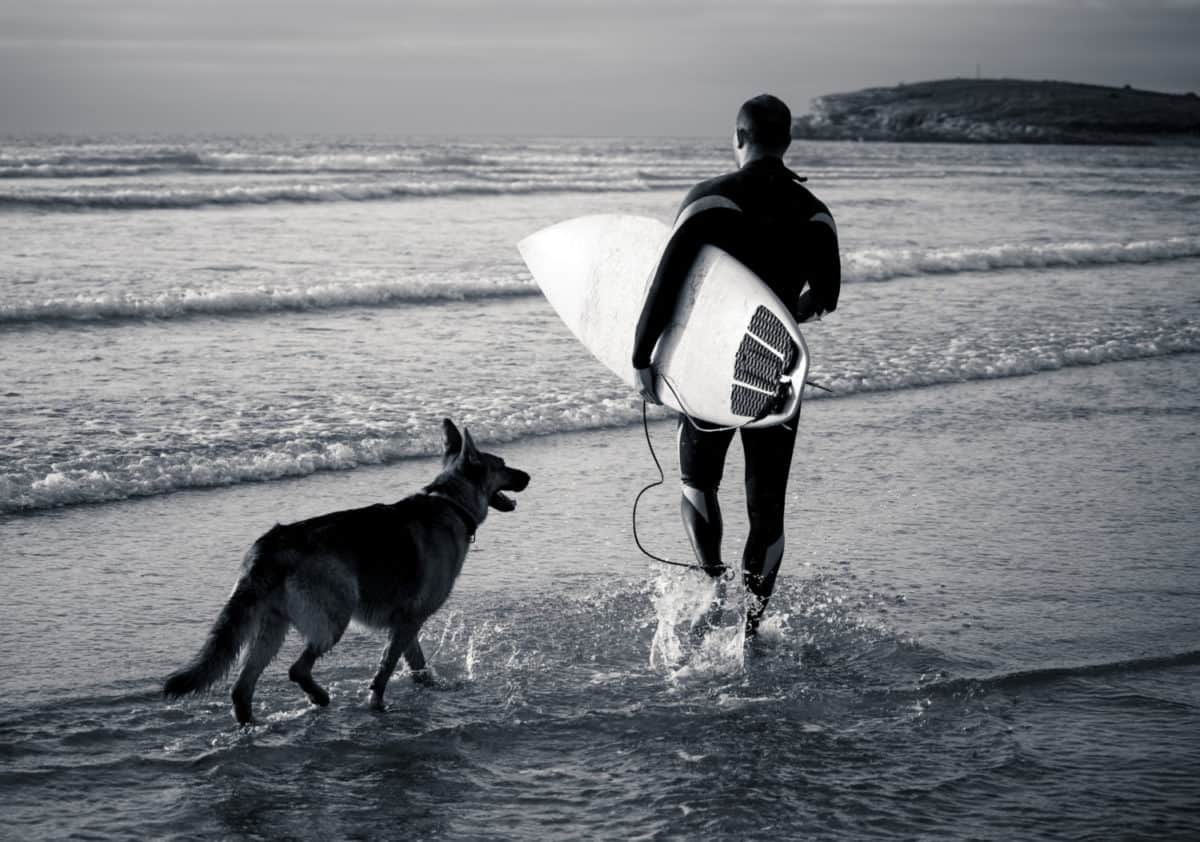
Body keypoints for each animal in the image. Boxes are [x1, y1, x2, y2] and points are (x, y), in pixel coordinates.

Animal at [164, 422, 530, 724]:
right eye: (502, 465)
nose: (528, 476)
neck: (450, 502)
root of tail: (270, 546)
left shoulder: (406, 624)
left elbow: (417, 665)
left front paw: (429, 688)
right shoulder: (409, 622)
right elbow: (386, 669)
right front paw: (377, 704)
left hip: (272, 630)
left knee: (242, 689)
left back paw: (254, 726)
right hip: (334, 618)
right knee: (296, 669)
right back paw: (318, 697)